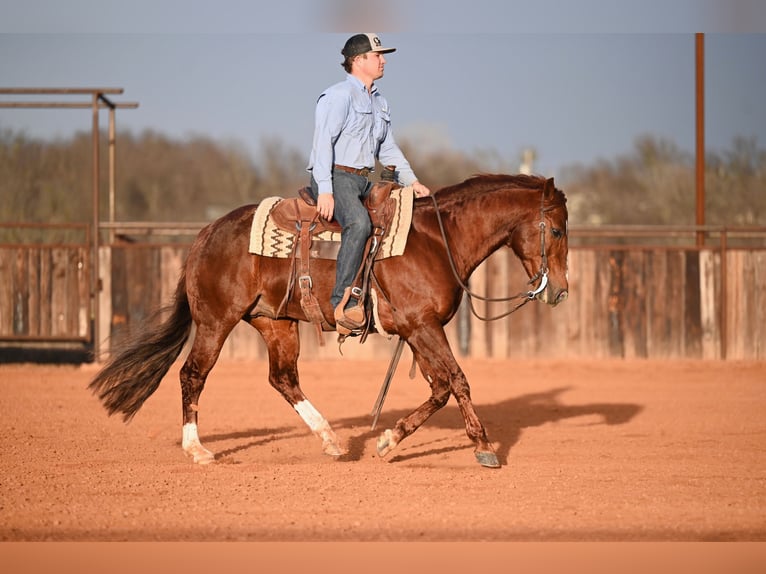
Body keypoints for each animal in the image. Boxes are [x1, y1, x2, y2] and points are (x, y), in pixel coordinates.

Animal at [88, 173, 569, 468]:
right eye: (558, 229)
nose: (560, 290)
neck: (437, 239)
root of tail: (206, 233)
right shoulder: (423, 327)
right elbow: (458, 381)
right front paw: (485, 448)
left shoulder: (416, 330)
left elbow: (440, 388)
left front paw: (388, 440)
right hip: (215, 321)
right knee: (192, 375)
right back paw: (198, 449)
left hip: (275, 322)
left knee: (283, 378)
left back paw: (331, 440)